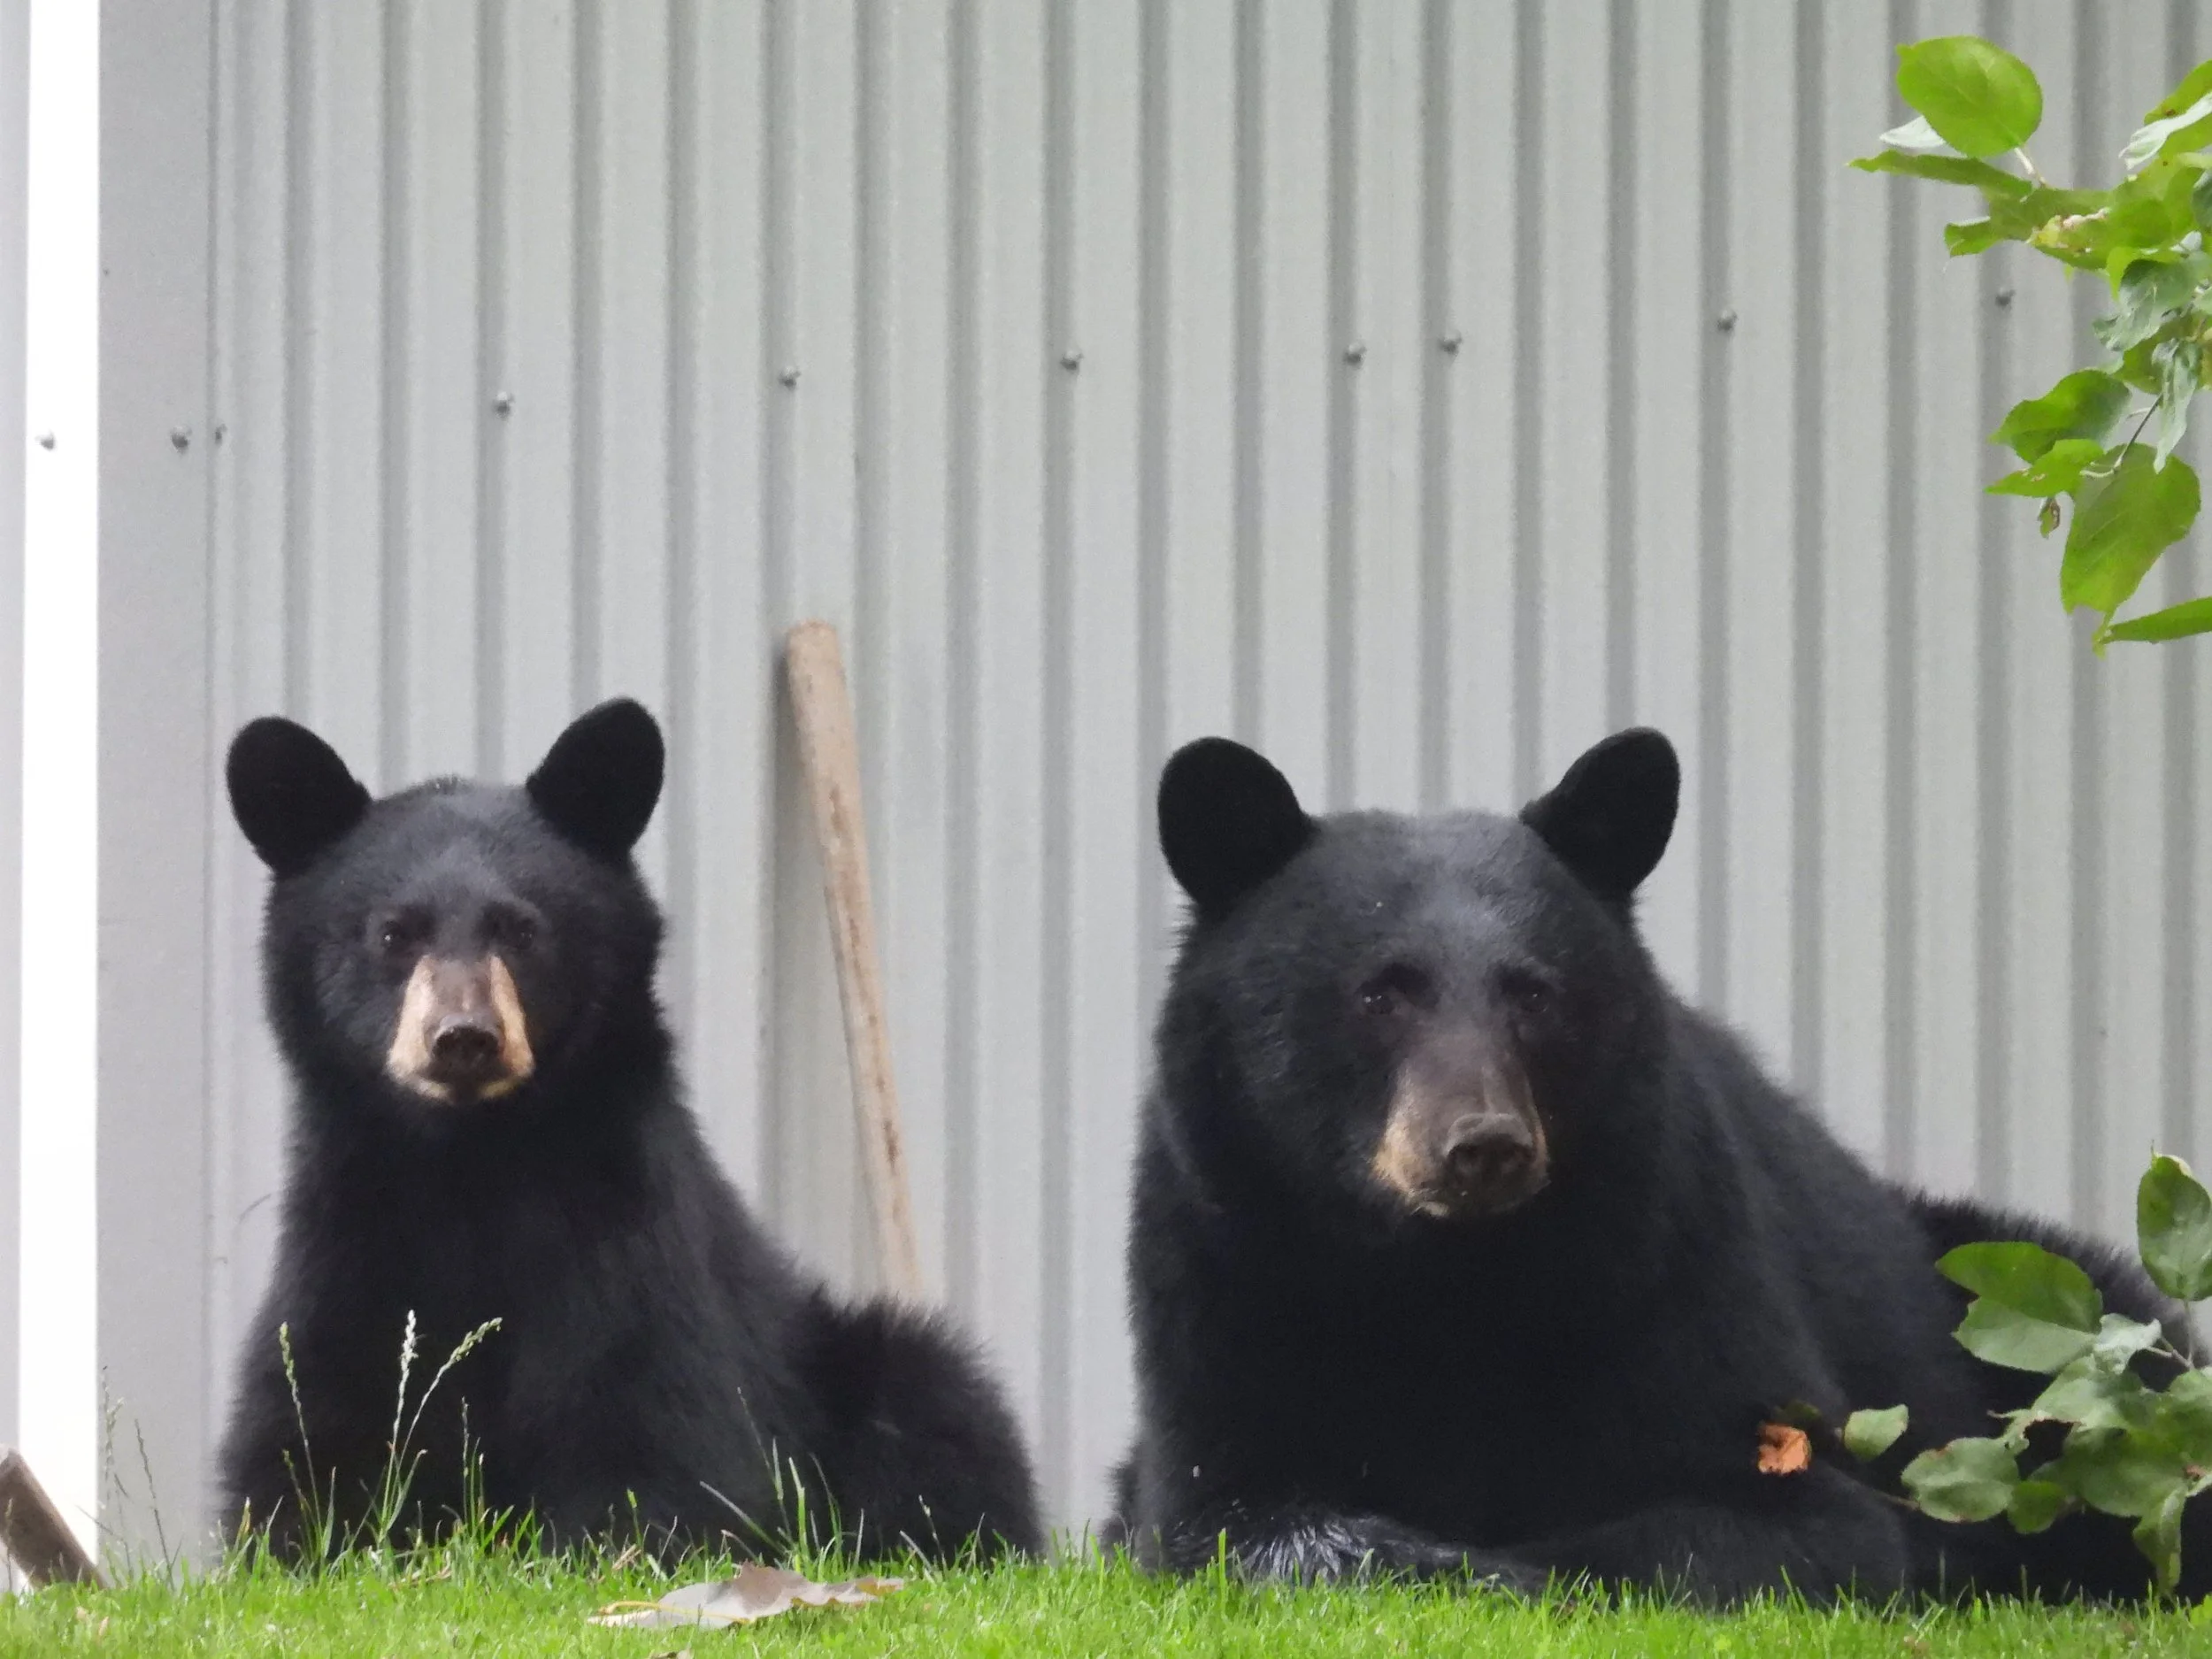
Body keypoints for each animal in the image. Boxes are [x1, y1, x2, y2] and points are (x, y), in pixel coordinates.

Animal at [218, 698, 1040, 1563]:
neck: (470, 1162)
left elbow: (664, 1442)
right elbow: (308, 1440)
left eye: (521, 928)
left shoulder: (629, 1246)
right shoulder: (346, 1248)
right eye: (392, 933)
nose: (464, 1038)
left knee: (941, 1411)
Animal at [1110, 726, 2204, 1603]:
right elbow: (1230, 1518)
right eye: (1380, 993)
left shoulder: (1666, 1260)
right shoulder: (1224, 1279)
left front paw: (1501, 1565)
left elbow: (1789, 1521)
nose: (1484, 1146)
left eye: (1534, 993)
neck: (1442, 1275)